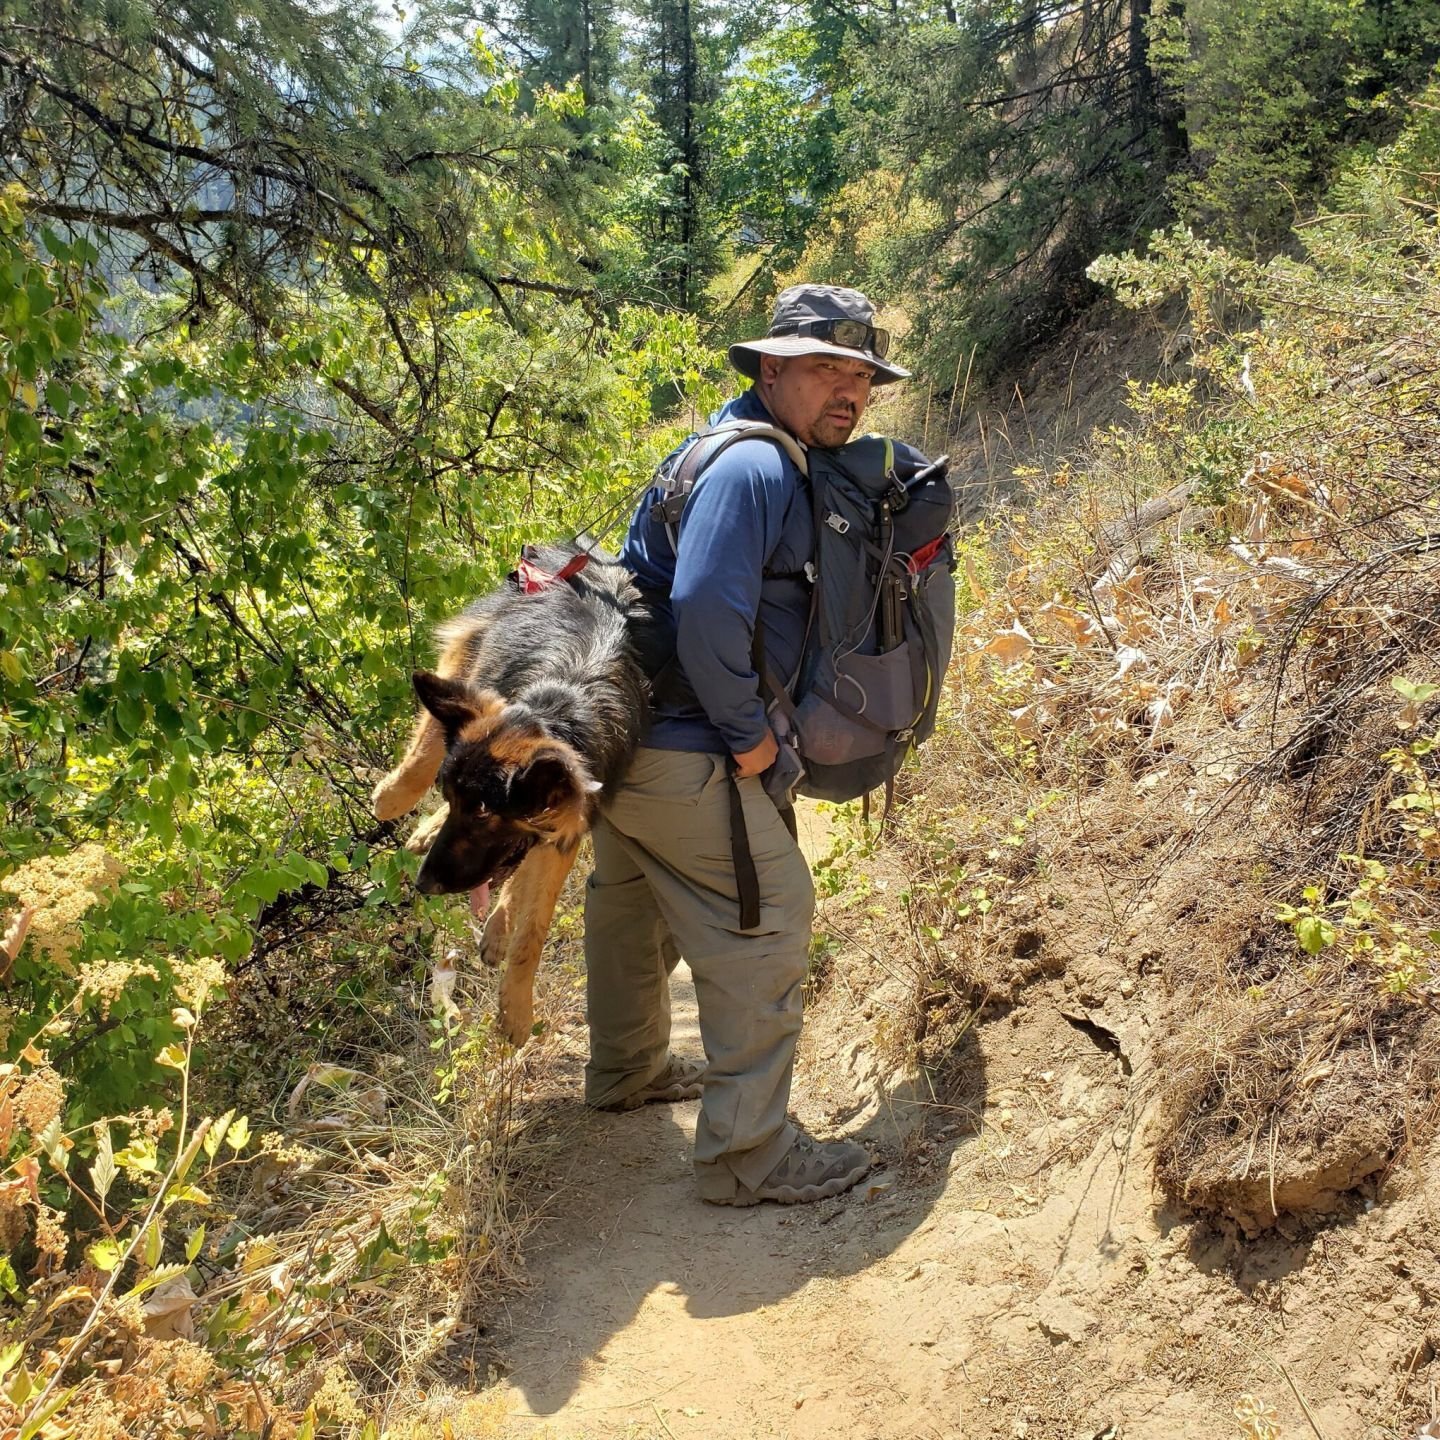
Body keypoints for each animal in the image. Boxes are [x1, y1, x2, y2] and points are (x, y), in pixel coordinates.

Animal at [374, 544, 659, 1042]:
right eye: (455, 801)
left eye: (484, 813)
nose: (425, 885)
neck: (560, 707)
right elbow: (428, 751)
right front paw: (395, 799)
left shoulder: (564, 831)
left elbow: (534, 928)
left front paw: (516, 1009)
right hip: (469, 657)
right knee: (430, 735)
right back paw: (401, 802)